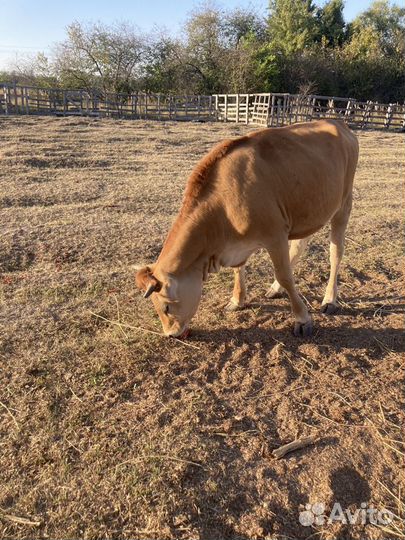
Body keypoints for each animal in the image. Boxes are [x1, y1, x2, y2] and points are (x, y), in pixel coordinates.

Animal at [135, 119, 356, 338]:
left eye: (166, 307)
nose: (170, 334)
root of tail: (337, 122)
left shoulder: (276, 235)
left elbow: (284, 275)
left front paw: (302, 319)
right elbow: (238, 268)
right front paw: (237, 300)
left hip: (344, 204)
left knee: (336, 253)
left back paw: (329, 299)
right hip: (308, 211)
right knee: (299, 245)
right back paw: (276, 289)